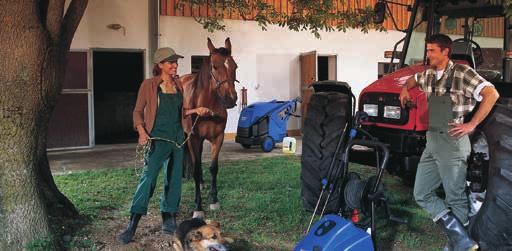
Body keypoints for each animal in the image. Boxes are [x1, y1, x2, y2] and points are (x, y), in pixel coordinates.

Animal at [180, 37, 238, 218]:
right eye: (214, 66)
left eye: (235, 66)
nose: (230, 99)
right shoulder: (193, 138)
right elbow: (198, 168)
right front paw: (198, 206)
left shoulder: (217, 137)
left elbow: (213, 168)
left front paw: (213, 199)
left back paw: (201, 183)